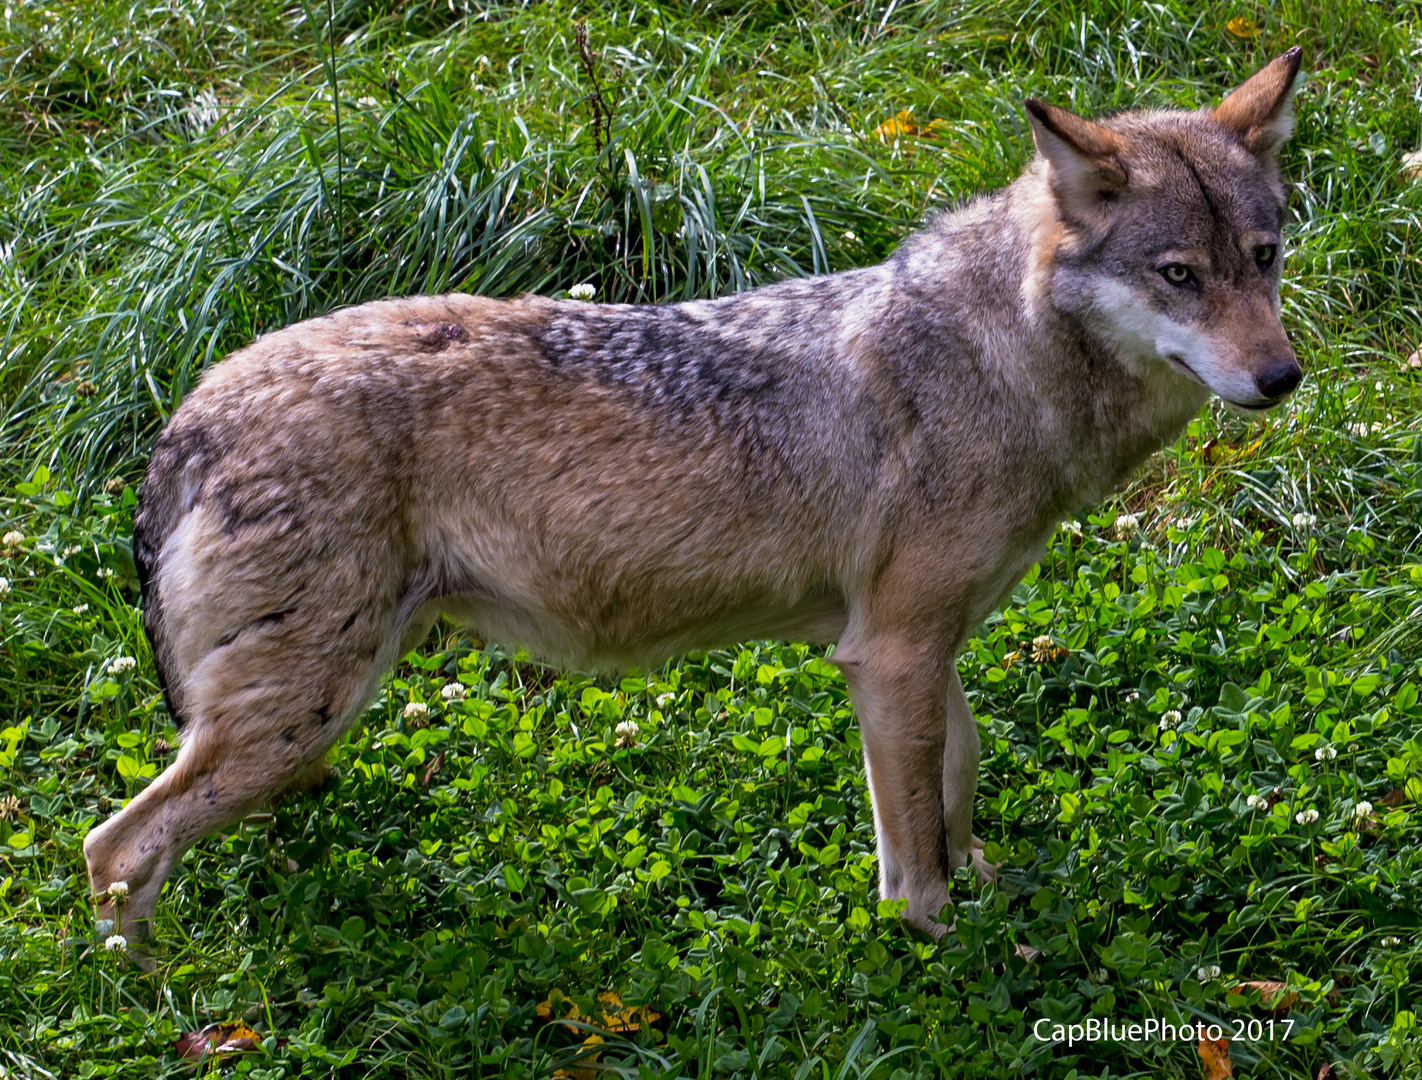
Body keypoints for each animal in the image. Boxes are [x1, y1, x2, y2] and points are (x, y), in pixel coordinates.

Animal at [86, 50, 1302, 950]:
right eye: (1179, 276)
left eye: (1265, 257)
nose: (1283, 378)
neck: (1000, 356)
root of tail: (190, 413)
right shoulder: (890, 652)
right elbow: (912, 850)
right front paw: (942, 951)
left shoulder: (923, 644)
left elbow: (958, 785)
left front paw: (992, 891)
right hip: (301, 712)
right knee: (115, 850)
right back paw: (172, 1002)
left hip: (313, 710)